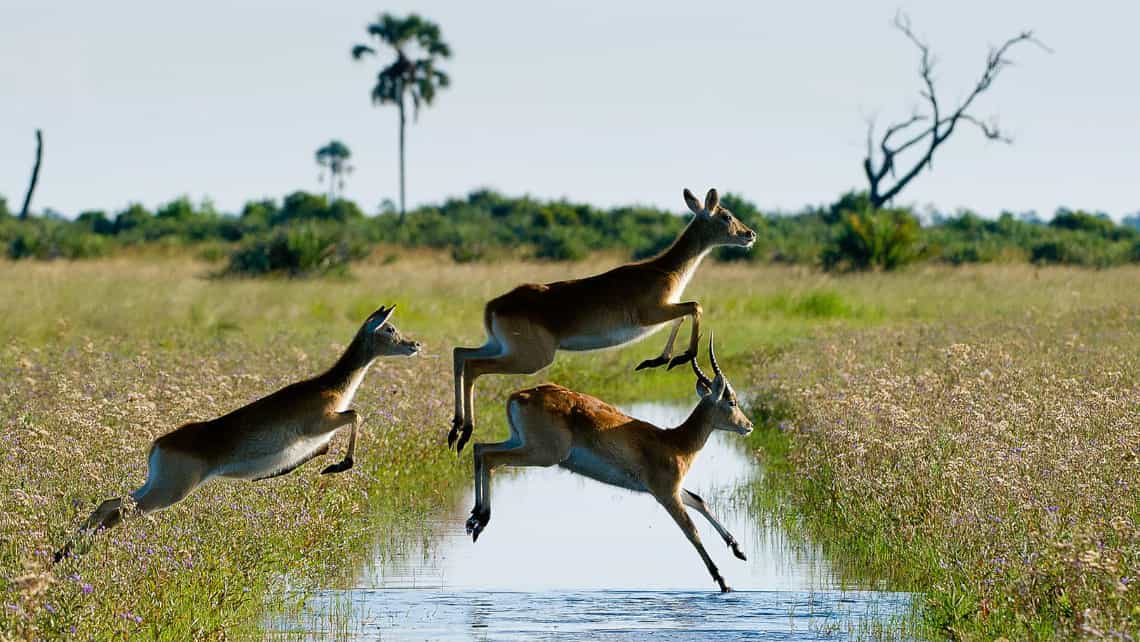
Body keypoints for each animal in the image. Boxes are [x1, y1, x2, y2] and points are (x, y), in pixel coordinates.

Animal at [53, 305, 419, 563]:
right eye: (390, 328)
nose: (415, 343)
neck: (329, 386)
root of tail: (159, 443)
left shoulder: (319, 435)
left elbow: (325, 446)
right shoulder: (321, 423)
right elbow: (356, 415)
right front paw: (339, 466)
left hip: (156, 482)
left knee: (110, 502)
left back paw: (63, 554)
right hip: (171, 490)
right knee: (120, 510)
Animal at [446, 188, 756, 453]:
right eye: (726, 215)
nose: (750, 234)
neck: (663, 270)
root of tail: (493, 305)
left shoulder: (664, 312)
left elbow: (683, 315)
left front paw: (659, 360)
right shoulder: (653, 313)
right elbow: (695, 307)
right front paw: (680, 357)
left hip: (500, 346)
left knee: (460, 354)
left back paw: (456, 431)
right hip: (529, 358)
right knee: (473, 367)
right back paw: (464, 433)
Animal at [467, 337, 752, 592]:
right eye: (732, 401)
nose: (748, 426)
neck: (675, 443)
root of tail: (519, 395)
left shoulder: (668, 489)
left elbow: (700, 500)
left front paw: (739, 550)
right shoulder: (666, 494)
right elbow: (692, 532)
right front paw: (723, 582)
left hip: (520, 442)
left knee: (480, 448)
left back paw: (473, 520)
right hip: (542, 455)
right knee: (491, 459)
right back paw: (480, 520)